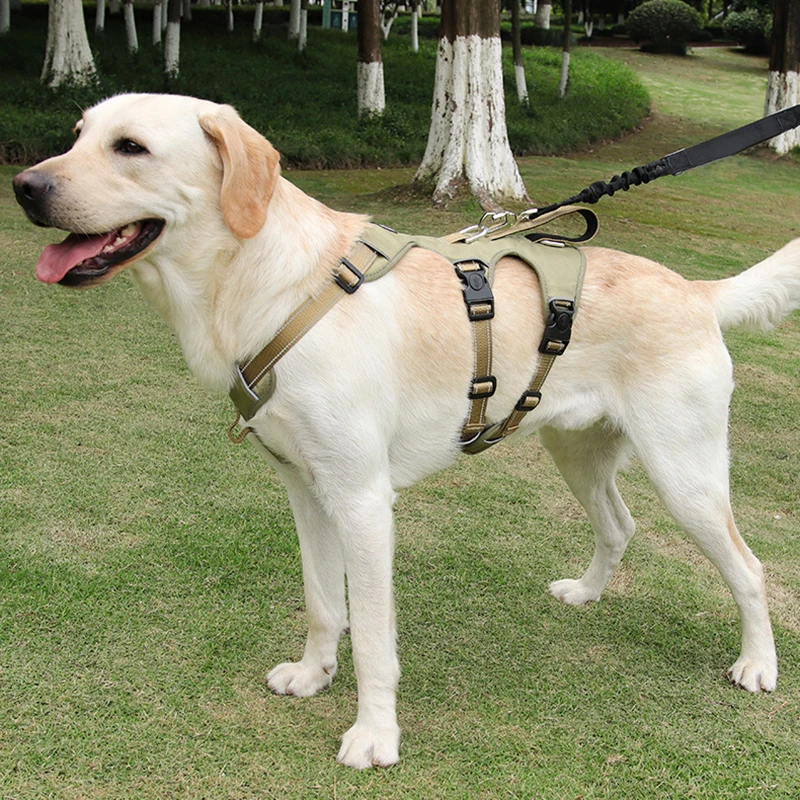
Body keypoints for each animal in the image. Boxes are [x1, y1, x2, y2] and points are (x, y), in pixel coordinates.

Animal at [12, 92, 800, 768]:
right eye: (77, 135)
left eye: (131, 147)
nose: (24, 186)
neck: (273, 285)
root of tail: (697, 291)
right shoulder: (305, 489)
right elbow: (323, 604)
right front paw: (313, 674)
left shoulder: (363, 502)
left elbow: (372, 638)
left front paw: (374, 735)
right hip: (576, 453)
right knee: (620, 524)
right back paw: (587, 592)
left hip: (686, 474)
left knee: (750, 568)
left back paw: (757, 664)